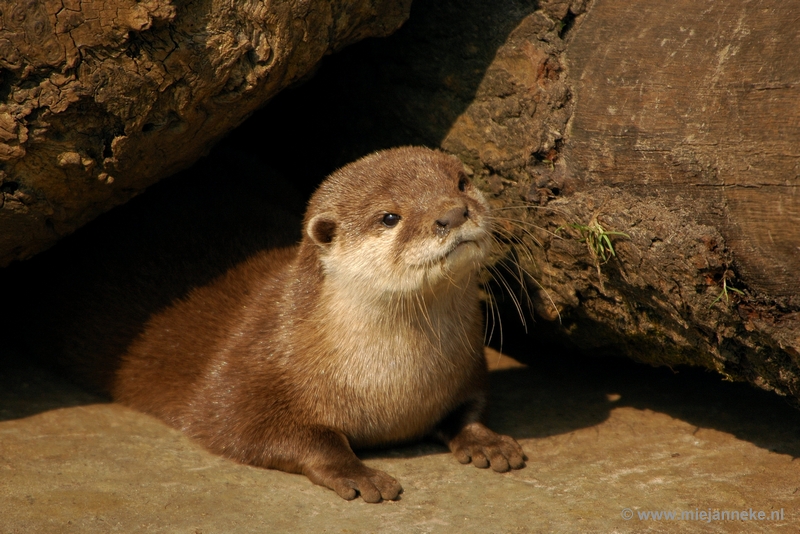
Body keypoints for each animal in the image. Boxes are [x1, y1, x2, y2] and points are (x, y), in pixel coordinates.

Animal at [36, 146, 524, 502]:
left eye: (461, 181)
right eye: (390, 217)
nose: (453, 213)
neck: (394, 385)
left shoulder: (467, 365)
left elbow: (471, 406)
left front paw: (487, 442)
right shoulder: (245, 373)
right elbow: (260, 432)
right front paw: (359, 474)